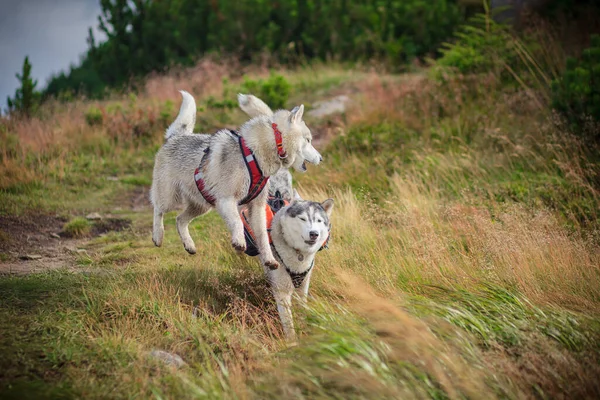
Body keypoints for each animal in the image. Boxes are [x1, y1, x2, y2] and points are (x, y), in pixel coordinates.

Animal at [150, 92, 322, 270]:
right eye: (308, 140)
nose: (321, 158)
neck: (257, 153)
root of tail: (176, 136)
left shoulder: (257, 206)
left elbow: (263, 236)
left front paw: (269, 260)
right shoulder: (227, 200)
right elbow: (238, 222)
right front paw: (239, 242)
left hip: (202, 205)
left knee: (180, 220)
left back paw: (189, 245)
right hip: (170, 198)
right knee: (158, 208)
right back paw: (158, 236)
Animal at [243, 169, 336, 340]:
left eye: (319, 221)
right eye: (303, 219)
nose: (314, 234)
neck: (298, 254)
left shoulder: (303, 286)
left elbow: (301, 311)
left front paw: (304, 330)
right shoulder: (282, 290)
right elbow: (288, 323)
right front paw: (293, 342)